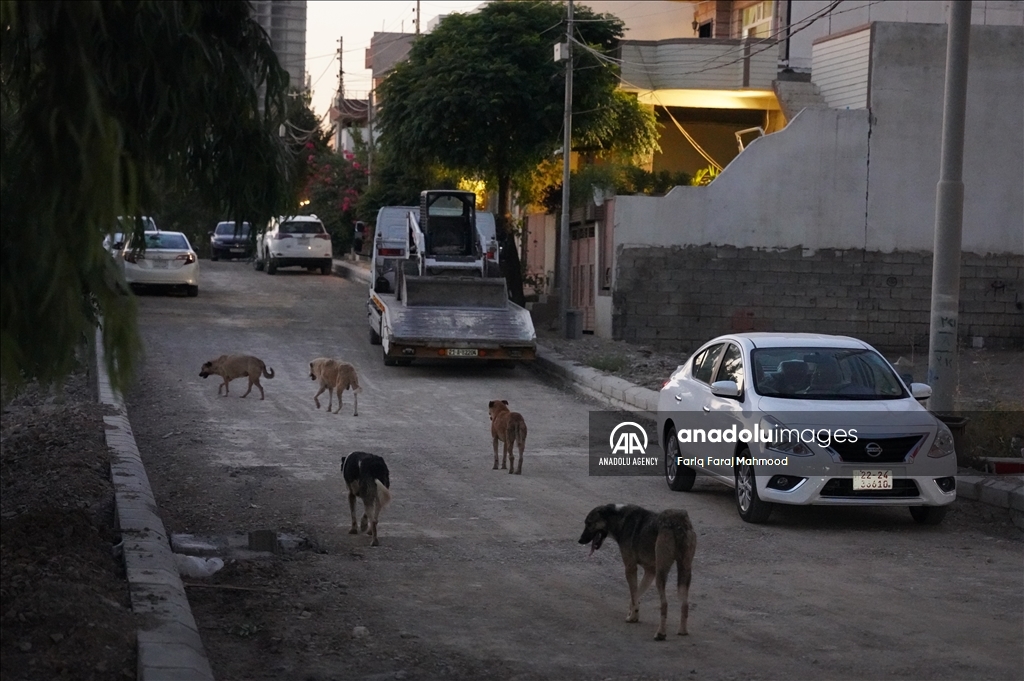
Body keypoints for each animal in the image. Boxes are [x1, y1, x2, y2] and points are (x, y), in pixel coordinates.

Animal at [577, 501, 696, 639]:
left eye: (589, 523)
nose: (580, 540)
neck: (619, 518)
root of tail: (678, 522)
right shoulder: (650, 571)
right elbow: (636, 594)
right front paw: (633, 613)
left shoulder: (630, 568)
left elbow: (633, 595)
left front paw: (632, 617)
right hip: (684, 571)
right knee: (685, 604)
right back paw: (682, 631)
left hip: (661, 574)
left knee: (665, 604)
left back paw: (660, 633)